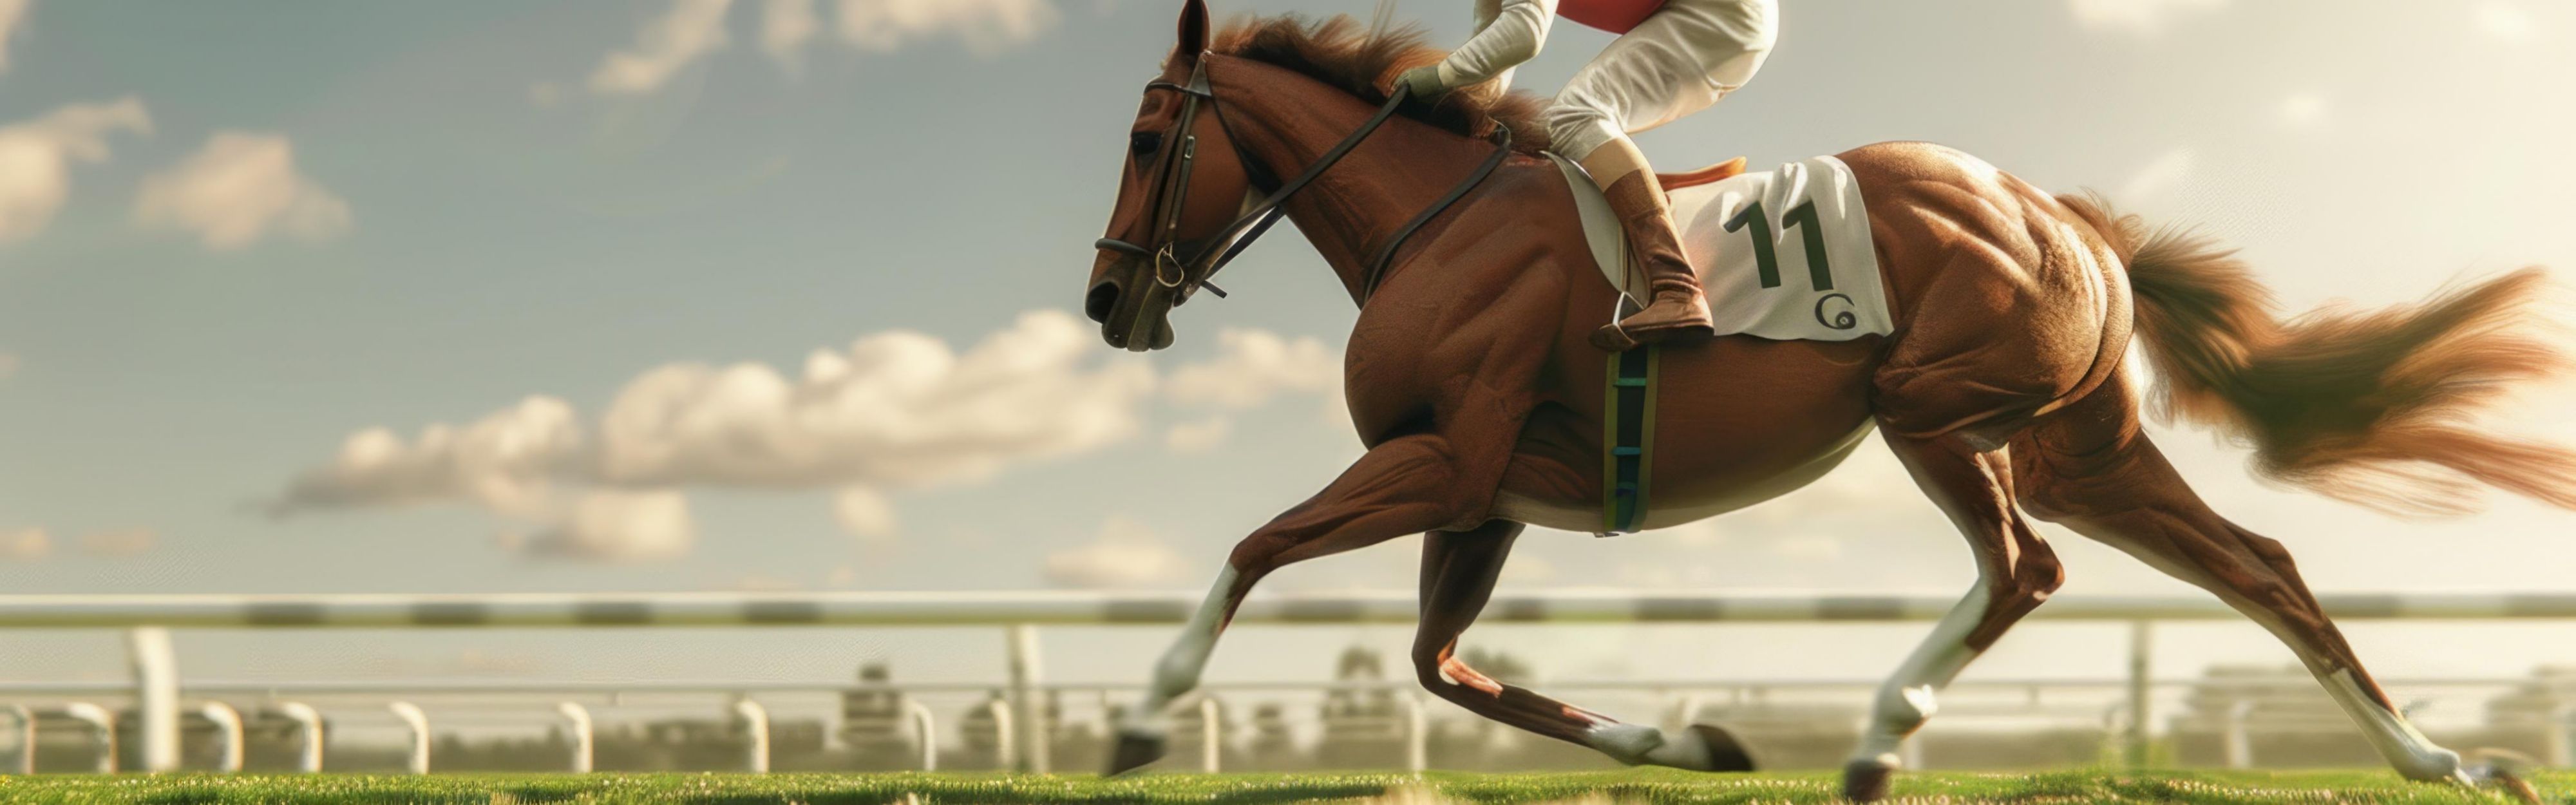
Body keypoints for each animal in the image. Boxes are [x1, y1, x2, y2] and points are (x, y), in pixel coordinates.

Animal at [1083, 2, 2574, 798]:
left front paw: (1144, 717)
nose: (1105, 302)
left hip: (1932, 407)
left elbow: (1256, 548)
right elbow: (1438, 664)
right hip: (2079, 445)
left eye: (1150, 137)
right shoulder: (1484, 495)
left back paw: (1878, 735)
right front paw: (1688, 737)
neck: (1433, 220)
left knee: (2024, 568)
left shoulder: (1444, 463)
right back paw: (2438, 759)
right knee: (2257, 564)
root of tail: (2064, 213)